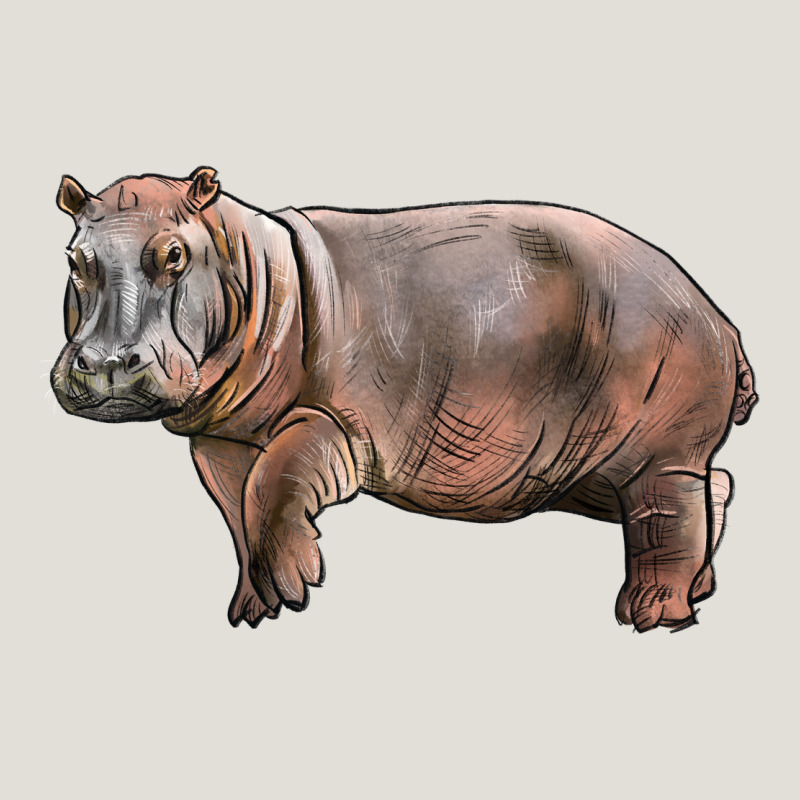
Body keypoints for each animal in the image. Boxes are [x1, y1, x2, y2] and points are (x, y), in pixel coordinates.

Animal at [51, 167, 757, 632]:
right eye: (73, 257)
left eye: (174, 253)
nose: (107, 364)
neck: (245, 260)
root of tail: (720, 317)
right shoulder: (221, 438)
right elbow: (238, 510)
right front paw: (253, 611)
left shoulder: (333, 421)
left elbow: (273, 484)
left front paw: (293, 589)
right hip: (588, 468)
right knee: (712, 489)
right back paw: (699, 590)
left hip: (658, 449)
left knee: (668, 513)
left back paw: (650, 617)